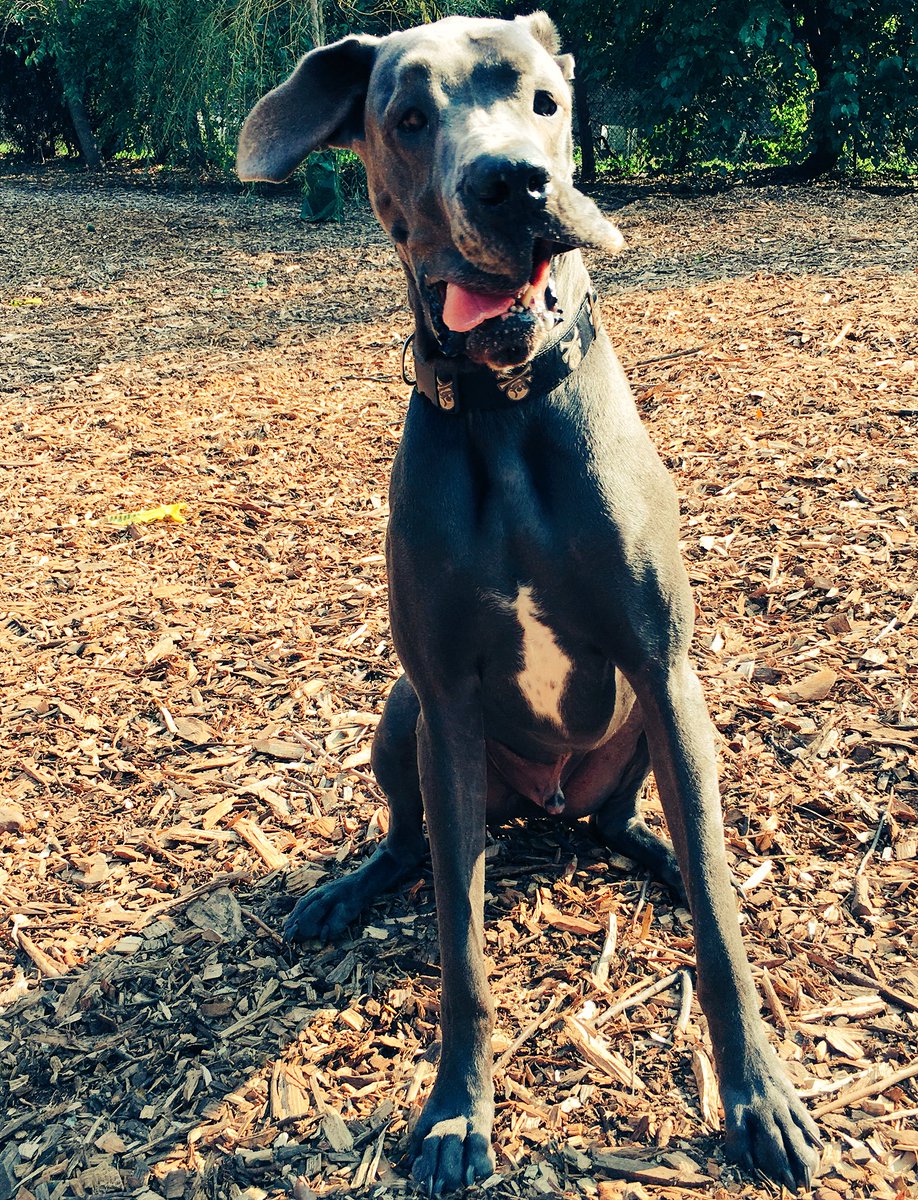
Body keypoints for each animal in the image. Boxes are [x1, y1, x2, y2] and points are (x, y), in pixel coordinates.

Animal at [237, 14, 822, 1194]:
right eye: (408, 118)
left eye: (545, 100)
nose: (512, 183)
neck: (506, 412)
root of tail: (545, 807)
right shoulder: (448, 700)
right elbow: (460, 944)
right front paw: (456, 1115)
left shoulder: (663, 667)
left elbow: (723, 935)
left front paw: (758, 1096)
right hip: (403, 720)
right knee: (413, 842)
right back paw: (345, 891)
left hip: (670, 721)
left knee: (640, 823)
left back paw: (661, 857)